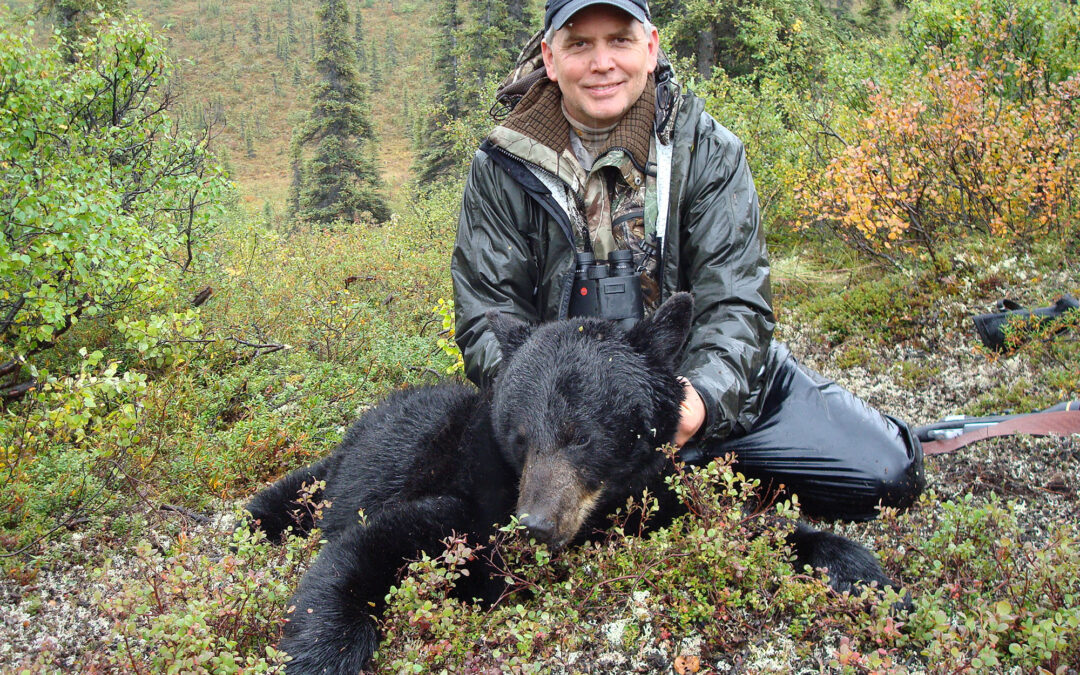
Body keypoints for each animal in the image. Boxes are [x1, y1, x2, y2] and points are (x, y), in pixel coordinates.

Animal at [247, 295, 902, 673]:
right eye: (518, 436)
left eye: (581, 436)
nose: (534, 524)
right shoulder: (467, 499)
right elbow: (367, 551)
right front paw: (319, 650)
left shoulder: (646, 498)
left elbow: (732, 529)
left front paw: (857, 569)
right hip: (332, 475)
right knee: (282, 502)